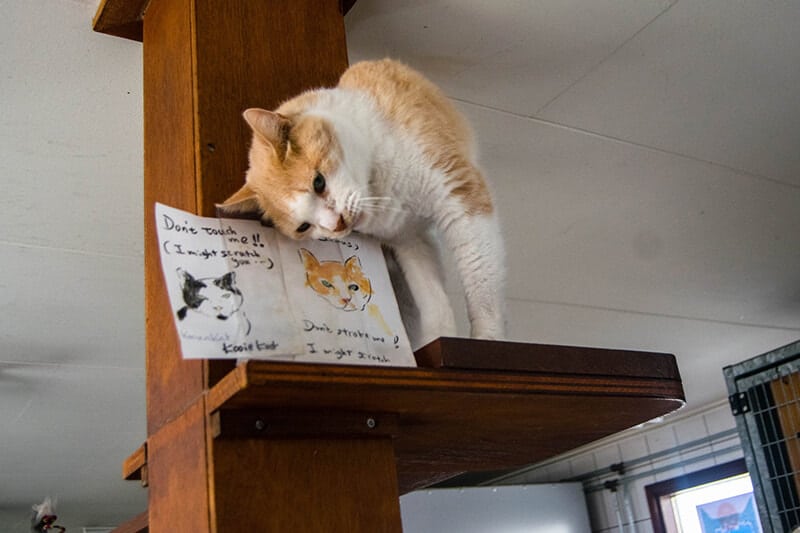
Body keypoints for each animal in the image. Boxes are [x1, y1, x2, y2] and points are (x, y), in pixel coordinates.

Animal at [222, 58, 504, 348]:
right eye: (303, 227)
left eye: (318, 182)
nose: (336, 225)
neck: (380, 189)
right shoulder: (410, 242)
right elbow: (432, 300)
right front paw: (439, 341)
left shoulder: (458, 196)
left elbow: (479, 276)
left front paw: (487, 339)